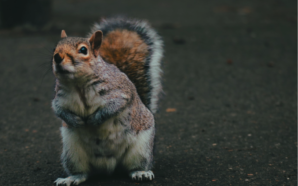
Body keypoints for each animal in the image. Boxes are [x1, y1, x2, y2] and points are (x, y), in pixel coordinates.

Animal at [51, 17, 163, 186]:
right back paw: (71, 178)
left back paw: (141, 173)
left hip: (141, 148)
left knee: (134, 166)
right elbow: (58, 110)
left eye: (83, 50)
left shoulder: (121, 92)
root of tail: (108, 166)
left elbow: (114, 106)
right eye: (55, 48)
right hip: (72, 153)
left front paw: (95, 119)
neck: (78, 84)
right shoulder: (60, 98)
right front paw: (74, 120)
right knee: (83, 173)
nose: (57, 57)